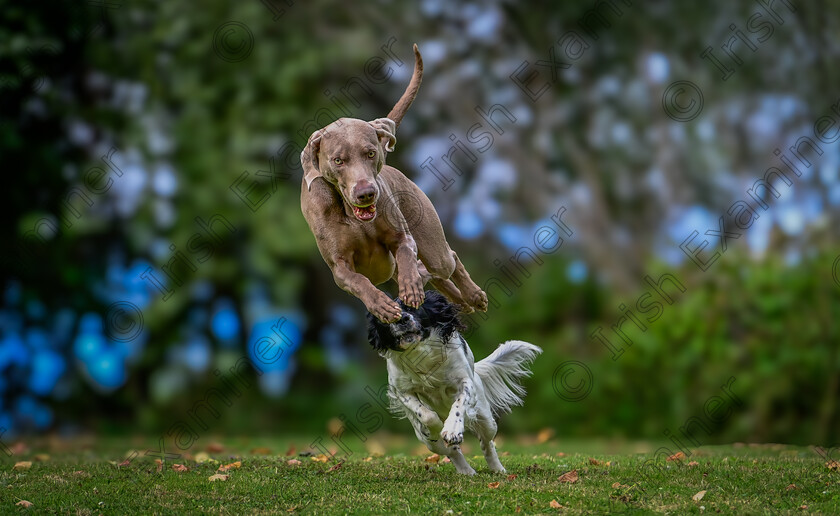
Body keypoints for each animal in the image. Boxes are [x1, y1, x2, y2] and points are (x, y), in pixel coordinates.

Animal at [366, 290, 540, 476]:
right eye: (385, 316)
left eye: (413, 307)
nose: (402, 319)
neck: (421, 354)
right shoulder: (402, 391)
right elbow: (426, 414)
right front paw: (436, 428)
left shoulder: (465, 382)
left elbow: (458, 405)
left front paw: (452, 430)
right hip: (429, 443)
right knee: (450, 451)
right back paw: (466, 470)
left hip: (486, 420)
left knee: (486, 443)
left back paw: (497, 469)